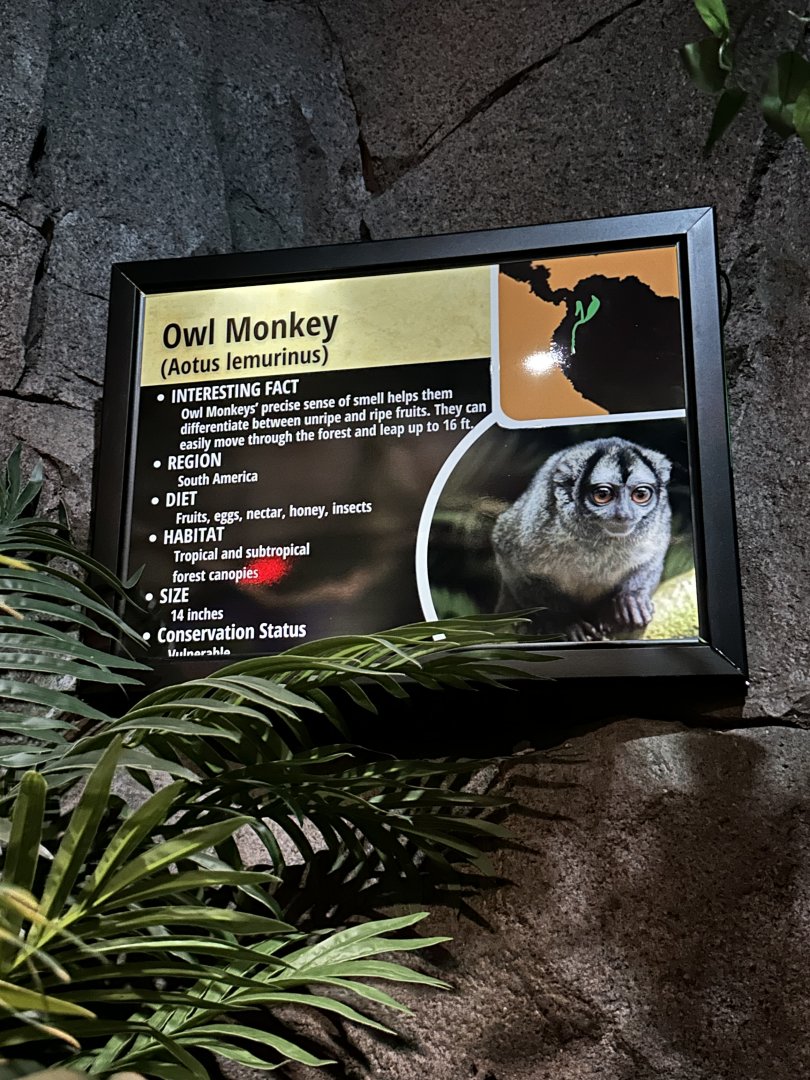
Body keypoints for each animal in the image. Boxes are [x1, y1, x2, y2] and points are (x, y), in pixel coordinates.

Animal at [491, 437, 672, 641]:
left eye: (640, 495)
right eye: (603, 495)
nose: (624, 515)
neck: (601, 538)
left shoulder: (659, 524)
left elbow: (652, 558)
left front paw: (632, 599)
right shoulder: (531, 528)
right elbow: (515, 566)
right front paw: (566, 622)